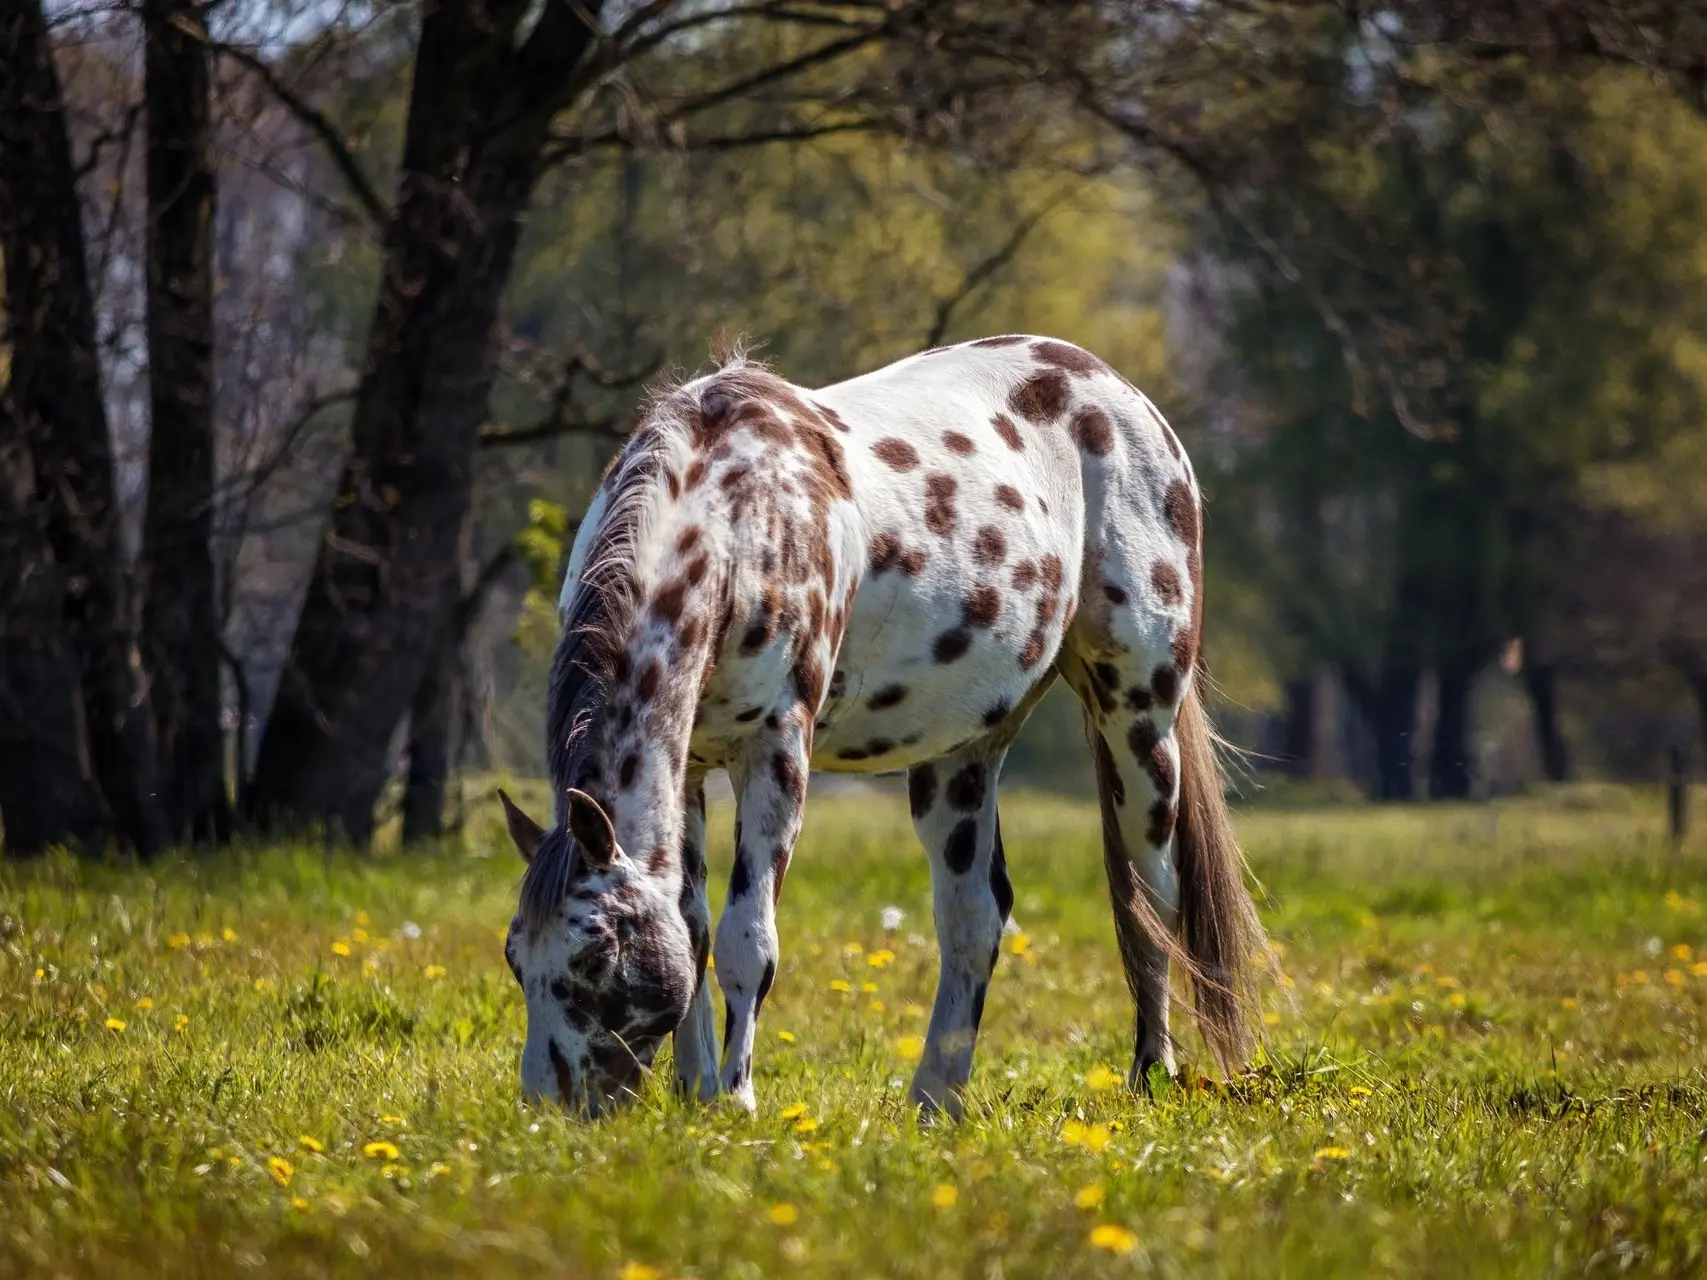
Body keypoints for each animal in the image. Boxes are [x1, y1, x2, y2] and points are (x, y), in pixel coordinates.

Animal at [495, 336, 1270, 1119]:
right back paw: (935, 1100)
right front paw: (697, 1093)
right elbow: (693, 929)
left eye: (595, 956)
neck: (738, 520)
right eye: (514, 956)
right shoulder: (688, 769)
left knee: (1150, 900)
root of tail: (1120, 394)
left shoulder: (776, 750)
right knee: (973, 919)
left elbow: (748, 942)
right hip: (962, 755)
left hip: (1138, 721)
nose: (549, 1110)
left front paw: (735, 1102)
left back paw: (1151, 1073)